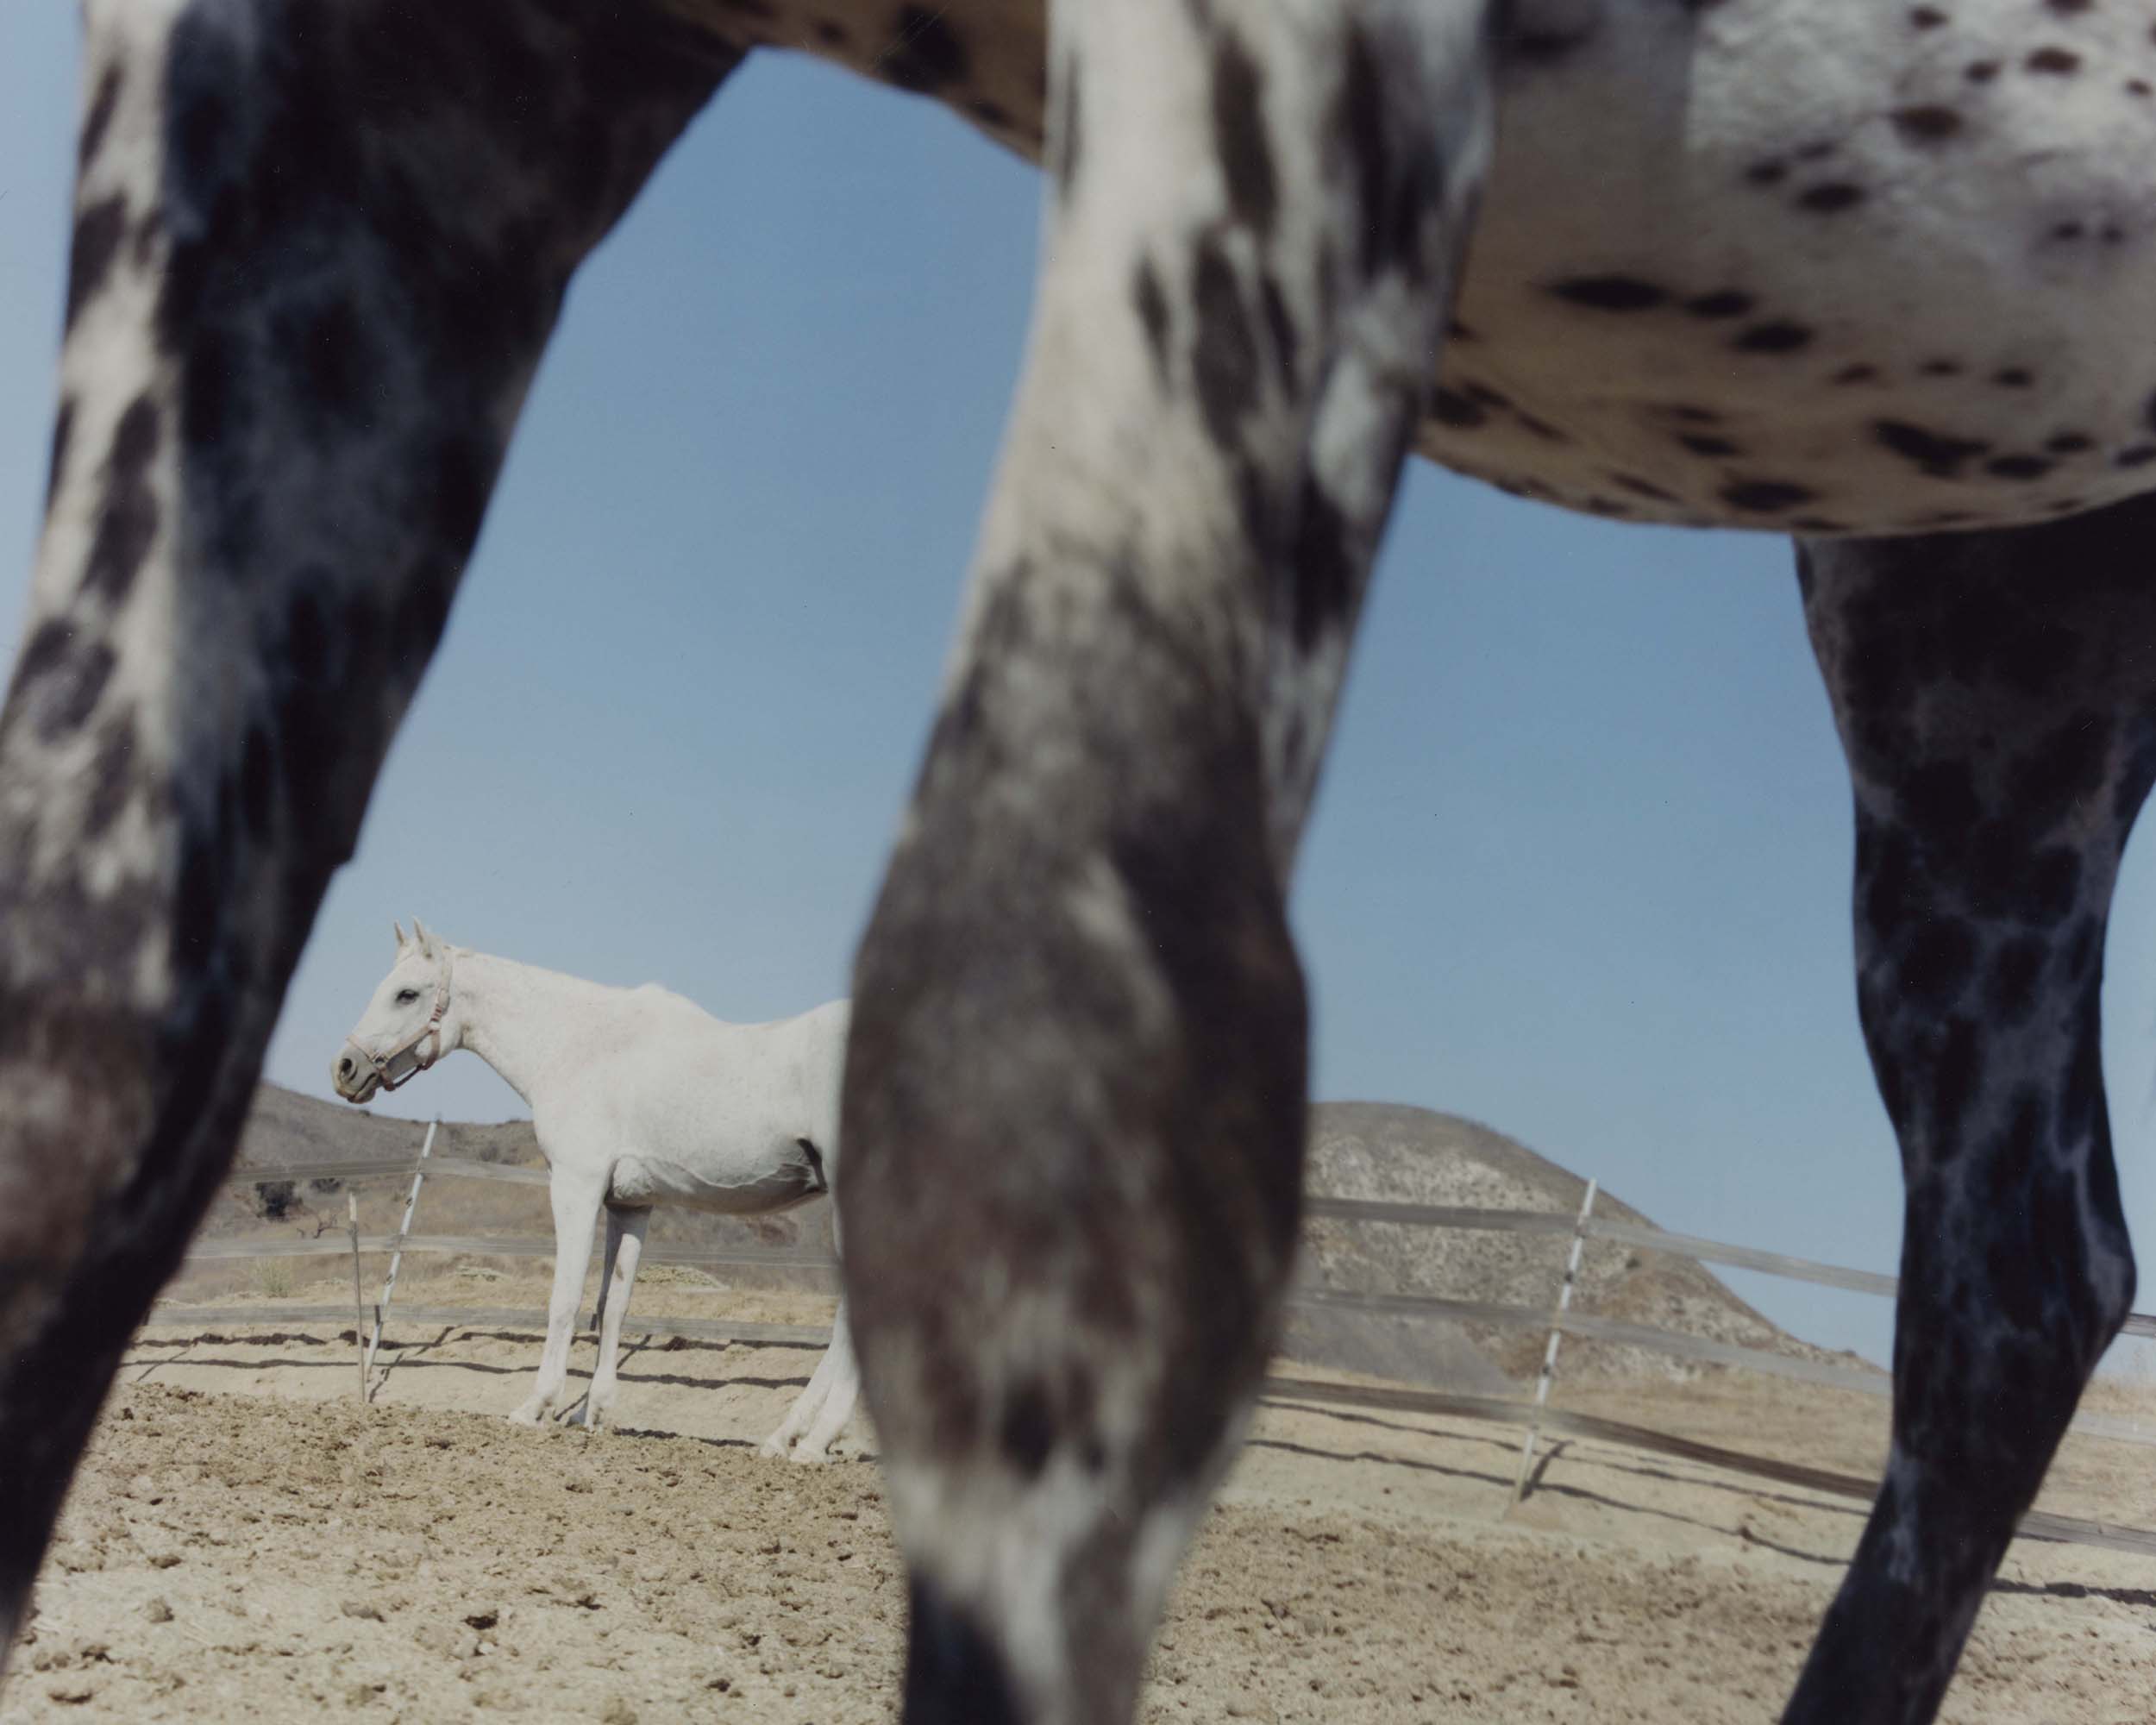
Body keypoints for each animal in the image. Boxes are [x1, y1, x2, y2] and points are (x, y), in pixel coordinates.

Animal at [333, 919, 857, 1451]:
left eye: (407, 994)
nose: (345, 1069)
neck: (581, 1047)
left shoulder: (576, 1187)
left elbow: (565, 1299)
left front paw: (537, 1405)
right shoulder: (630, 1204)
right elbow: (613, 1304)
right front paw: (593, 1412)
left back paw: (814, 1443)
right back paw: (786, 1437)